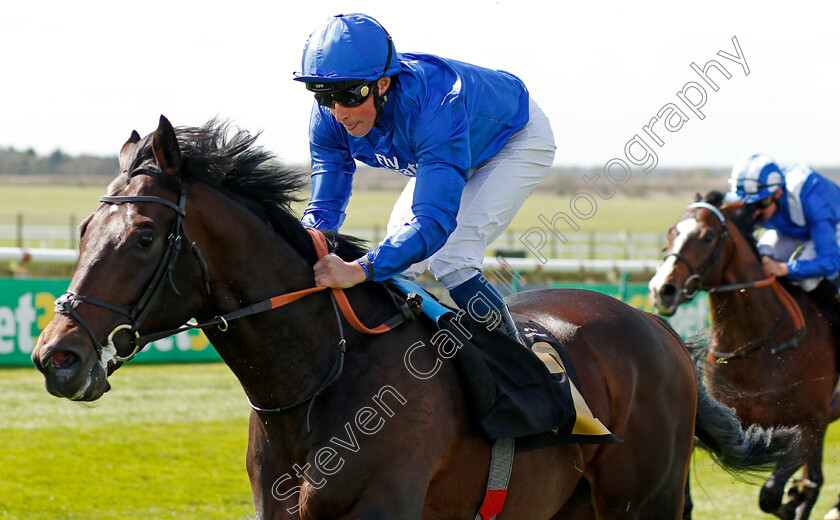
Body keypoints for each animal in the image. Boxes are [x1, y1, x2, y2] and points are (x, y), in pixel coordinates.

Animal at [31, 119, 796, 520]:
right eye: (82, 231)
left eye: (142, 238)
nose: (55, 355)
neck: (318, 380)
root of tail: (659, 330)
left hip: (647, 500)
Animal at [648, 193, 840, 520]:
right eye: (672, 232)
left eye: (707, 236)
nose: (662, 290)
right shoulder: (718, 419)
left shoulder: (810, 422)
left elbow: (773, 495)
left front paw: (792, 500)